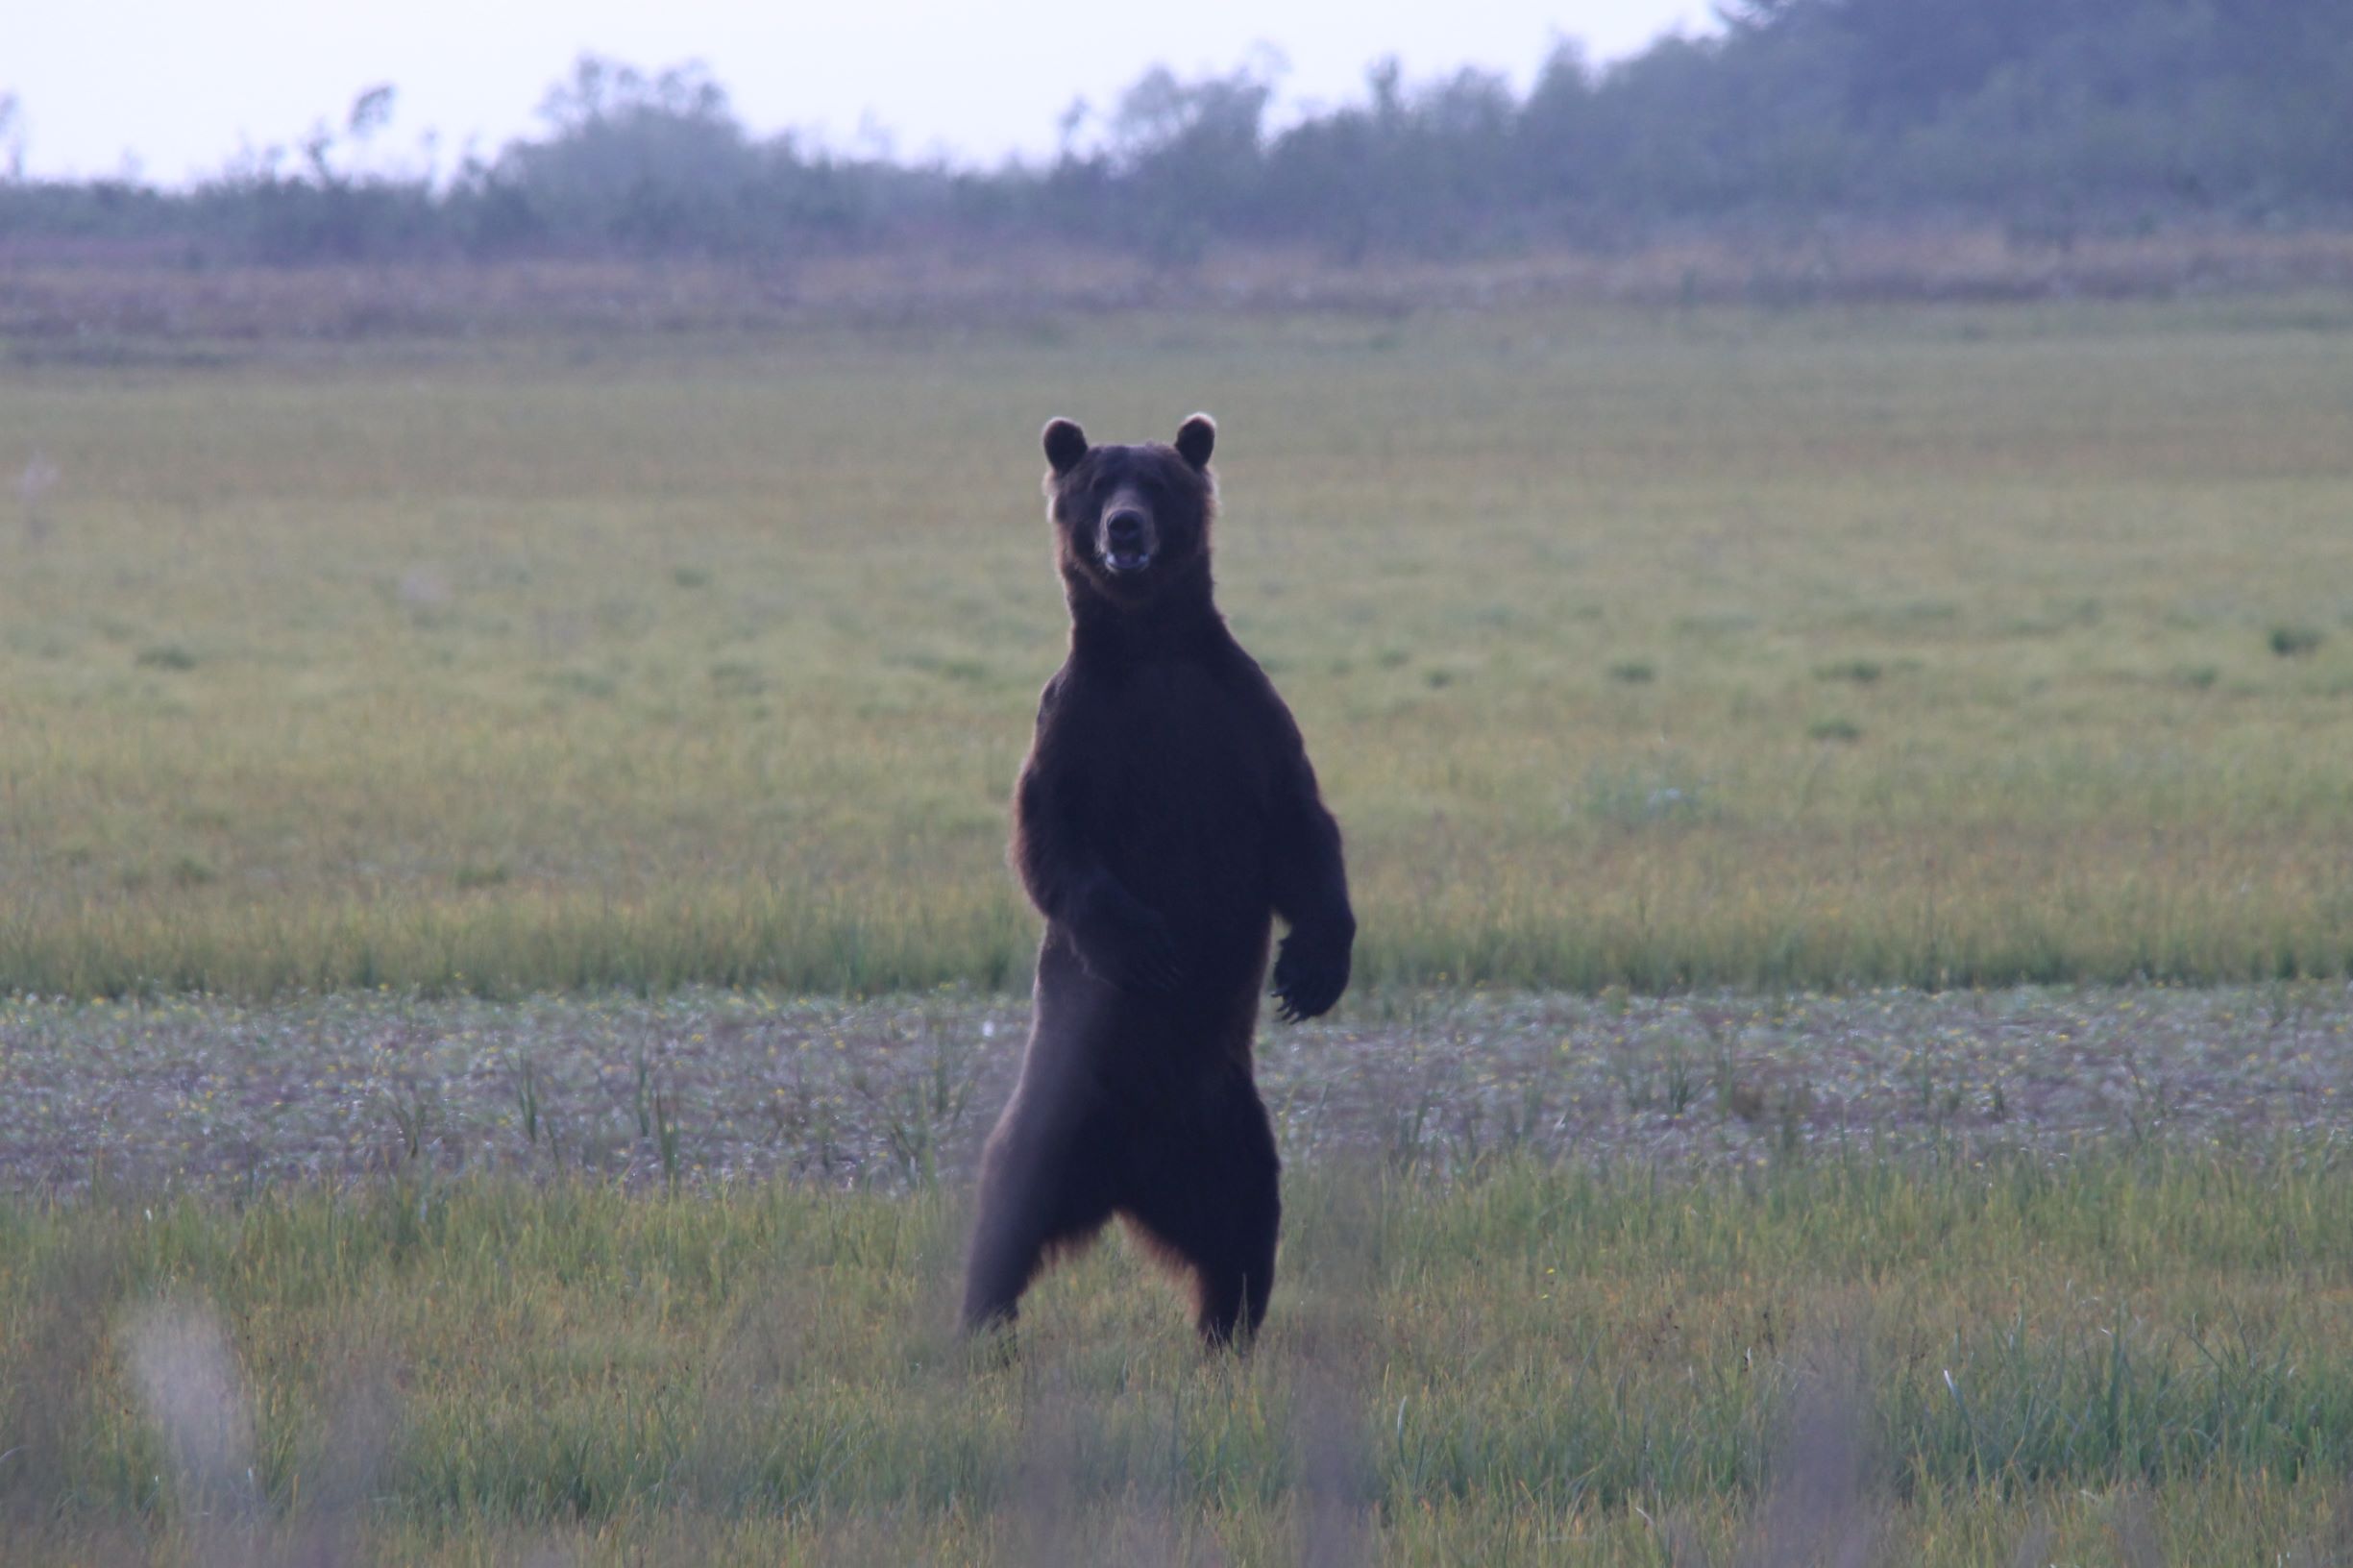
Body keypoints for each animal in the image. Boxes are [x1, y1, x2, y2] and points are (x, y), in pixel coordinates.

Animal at [960, 414, 1364, 1346]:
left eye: (1158, 482)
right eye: (1094, 484)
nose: (1123, 528)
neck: (1150, 650)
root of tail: (1128, 1179)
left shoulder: (1241, 721)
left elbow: (1302, 829)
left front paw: (1311, 970)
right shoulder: (1077, 729)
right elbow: (1051, 844)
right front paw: (1144, 946)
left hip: (1227, 1131)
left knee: (1244, 1230)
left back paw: (1225, 1335)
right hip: (1055, 1114)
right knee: (1005, 1211)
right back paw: (981, 1323)